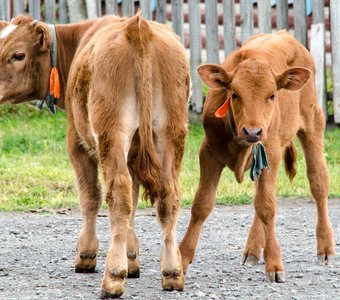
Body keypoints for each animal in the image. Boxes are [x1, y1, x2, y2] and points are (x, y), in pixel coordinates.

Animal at [0, 12, 189, 298]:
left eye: (18, 55)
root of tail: (137, 27)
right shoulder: (133, 155)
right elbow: (133, 202)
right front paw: (132, 257)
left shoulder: (76, 142)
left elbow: (90, 196)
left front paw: (86, 255)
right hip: (170, 130)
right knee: (167, 194)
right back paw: (172, 272)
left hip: (111, 132)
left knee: (117, 193)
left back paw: (113, 277)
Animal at [181, 31, 334, 282]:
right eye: (234, 94)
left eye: (272, 96)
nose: (253, 131)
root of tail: (283, 33)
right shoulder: (209, 152)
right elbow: (202, 204)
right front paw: (182, 259)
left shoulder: (270, 151)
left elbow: (267, 207)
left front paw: (274, 264)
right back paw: (253, 250)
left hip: (313, 122)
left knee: (318, 182)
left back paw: (326, 248)